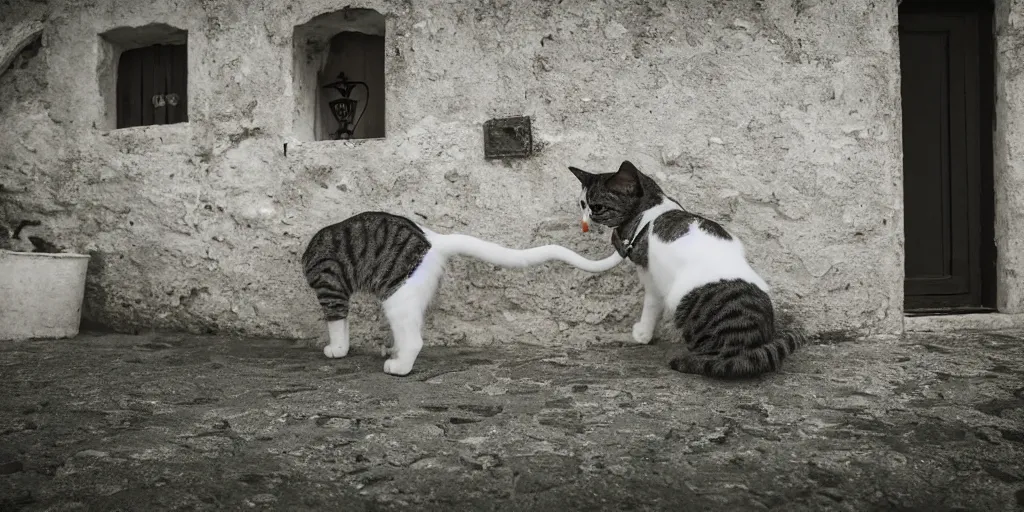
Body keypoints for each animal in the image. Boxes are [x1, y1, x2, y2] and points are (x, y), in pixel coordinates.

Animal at [299, 210, 622, 376]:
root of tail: (432, 238)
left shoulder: (330, 288)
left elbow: (337, 325)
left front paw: (337, 350)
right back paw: (394, 352)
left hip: (397, 297)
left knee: (414, 340)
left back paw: (400, 366)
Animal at [569, 161, 806, 378]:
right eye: (582, 204)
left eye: (596, 207)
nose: (585, 219)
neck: (654, 207)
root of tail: (749, 350)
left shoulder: (649, 273)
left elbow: (650, 305)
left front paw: (642, 334)